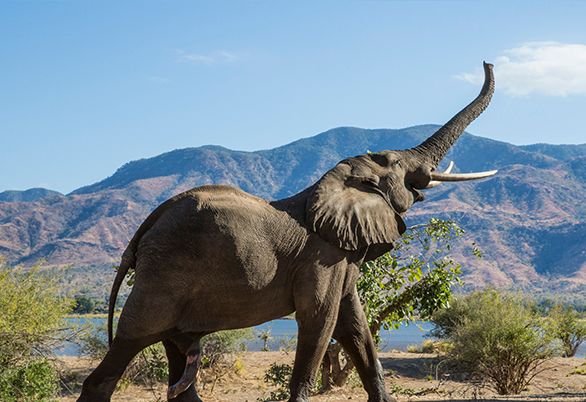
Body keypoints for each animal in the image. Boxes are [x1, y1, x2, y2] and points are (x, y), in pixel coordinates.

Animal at [77, 61, 496, 400]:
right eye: (395, 164)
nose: (488, 62)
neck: (332, 183)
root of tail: (142, 231)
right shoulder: (322, 259)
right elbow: (320, 321)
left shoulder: (342, 259)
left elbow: (356, 329)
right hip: (162, 279)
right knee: (124, 352)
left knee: (179, 371)